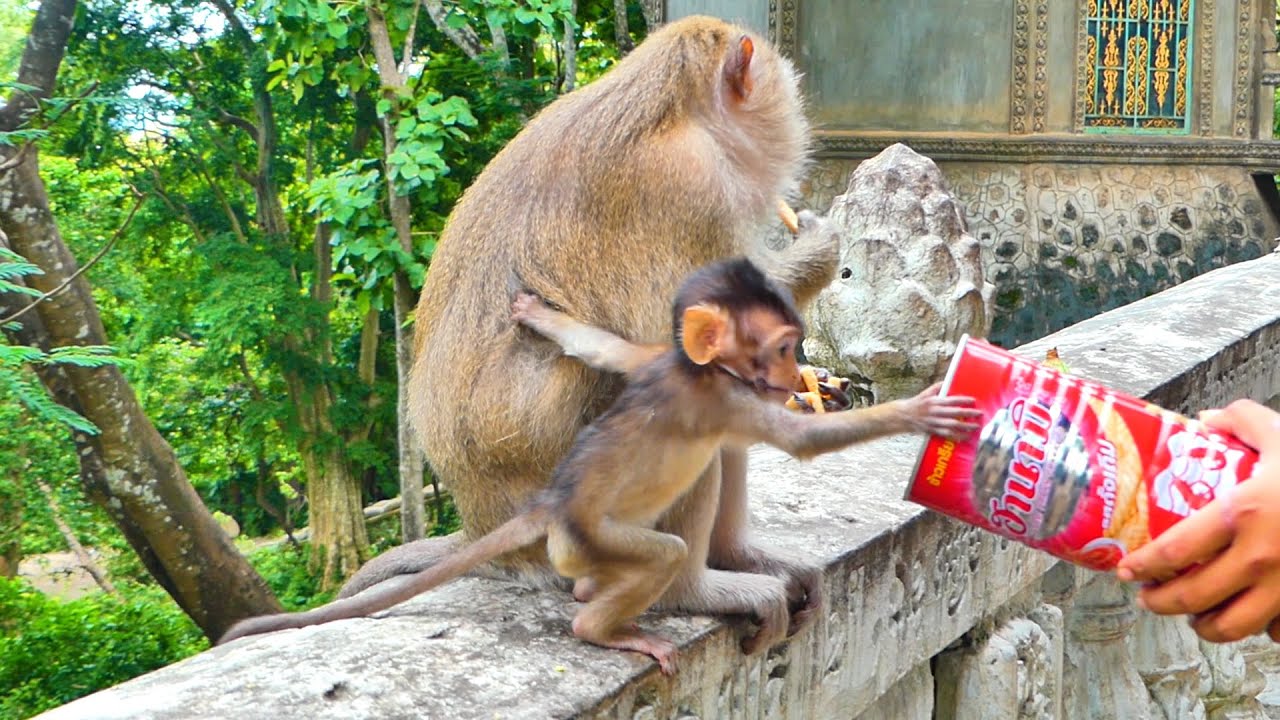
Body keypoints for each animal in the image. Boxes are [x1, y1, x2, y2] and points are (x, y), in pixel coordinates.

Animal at [218, 259, 982, 676]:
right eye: (783, 346)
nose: (793, 372)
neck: (694, 370)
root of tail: (547, 507)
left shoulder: (652, 359)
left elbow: (604, 349)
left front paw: (539, 314)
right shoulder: (726, 398)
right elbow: (798, 442)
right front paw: (922, 411)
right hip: (590, 539)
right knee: (673, 531)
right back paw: (630, 615)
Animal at [337, 15, 841, 646]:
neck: (674, 110)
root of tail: (483, 525)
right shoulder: (692, 188)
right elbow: (686, 344)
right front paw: (819, 250)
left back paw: (734, 555)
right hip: (572, 515)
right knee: (686, 394)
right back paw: (691, 590)